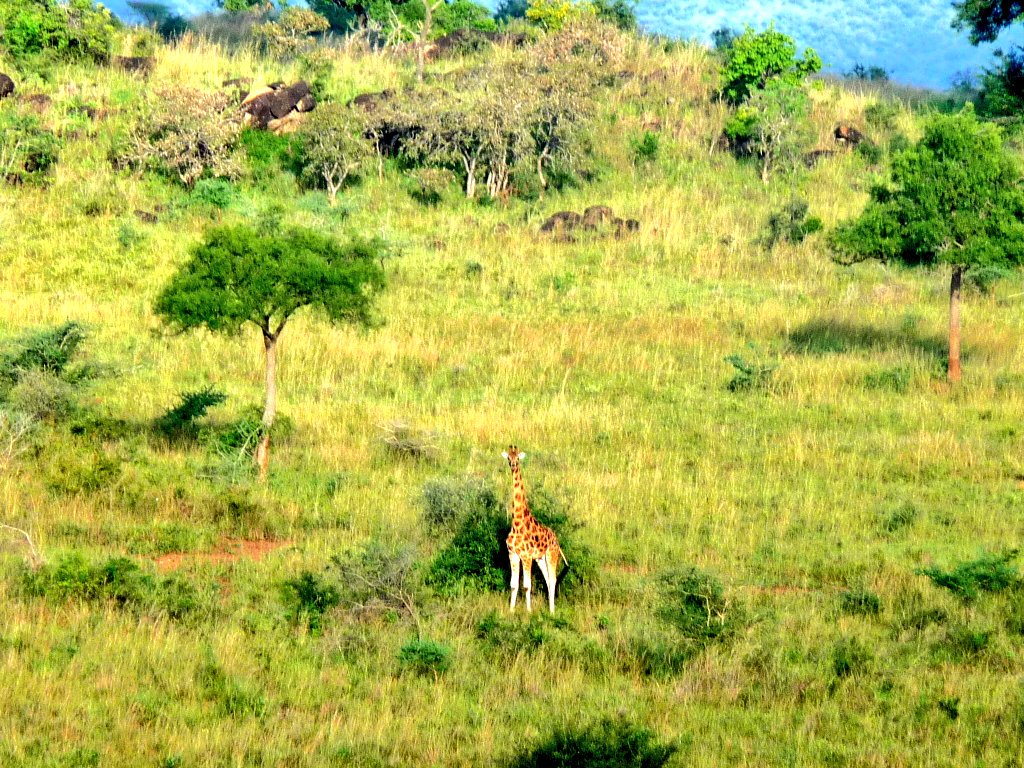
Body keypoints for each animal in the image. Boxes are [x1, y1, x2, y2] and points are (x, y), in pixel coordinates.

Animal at [503, 444, 569, 614]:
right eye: (509, 457)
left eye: (518, 458)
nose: (513, 465)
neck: (517, 523)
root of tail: (557, 540)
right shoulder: (513, 554)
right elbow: (513, 585)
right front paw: (511, 611)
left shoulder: (526, 556)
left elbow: (527, 585)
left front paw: (528, 611)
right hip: (540, 558)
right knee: (547, 580)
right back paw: (550, 608)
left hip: (551, 555)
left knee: (552, 579)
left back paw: (552, 611)